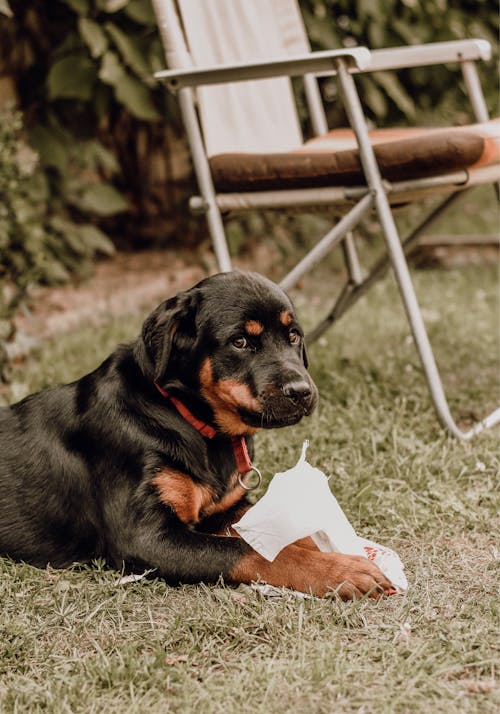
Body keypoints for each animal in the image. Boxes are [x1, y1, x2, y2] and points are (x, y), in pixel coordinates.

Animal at [0, 270, 390, 596]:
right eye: (239, 342)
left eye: (293, 335)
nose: (302, 391)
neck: (186, 417)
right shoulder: (145, 538)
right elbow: (252, 551)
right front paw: (341, 571)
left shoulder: (222, 510)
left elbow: (283, 531)